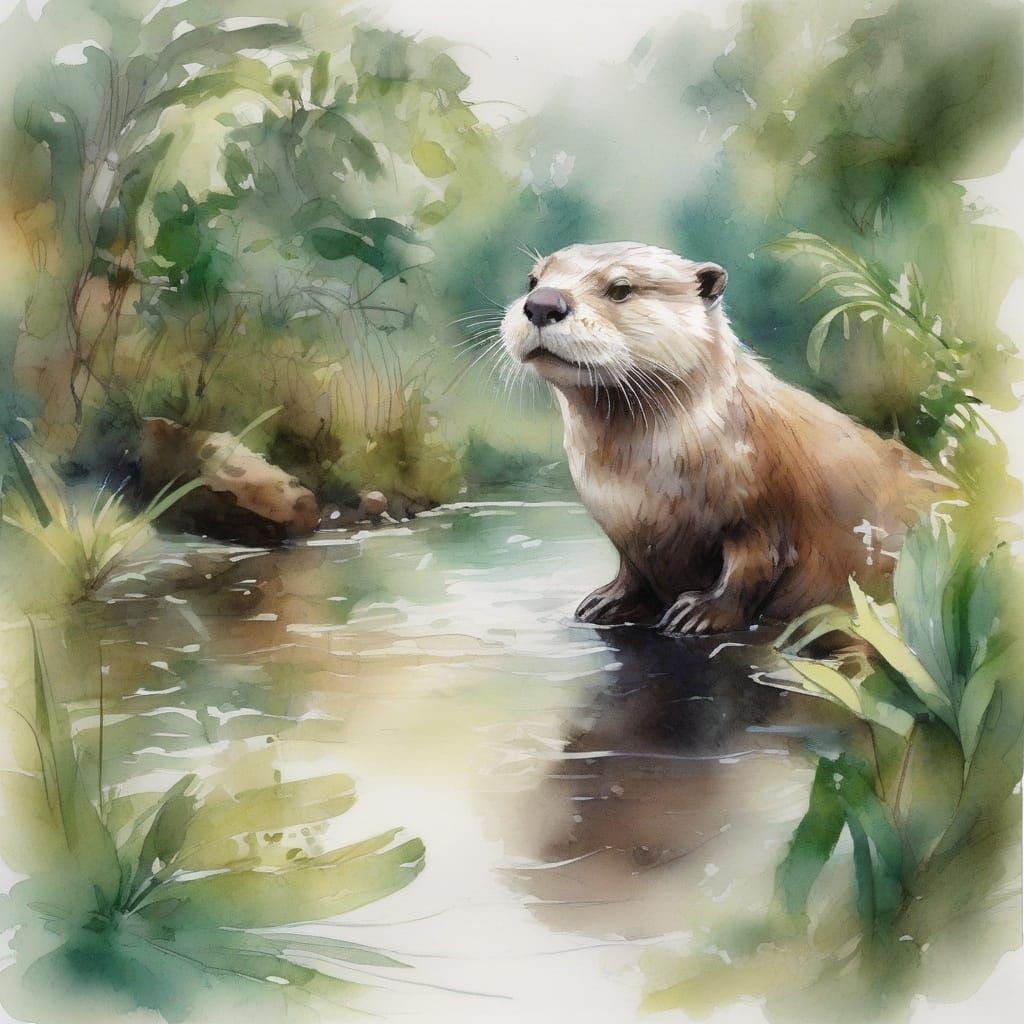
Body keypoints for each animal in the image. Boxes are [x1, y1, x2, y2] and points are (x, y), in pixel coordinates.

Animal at [499, 242, 951, 636]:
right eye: (533, 279)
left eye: (620, 288)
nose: (543, 303)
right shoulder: (625, 528)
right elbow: (633, 570)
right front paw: (606, 601)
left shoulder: (763, 510)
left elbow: (750, 570)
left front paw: (700, 613)